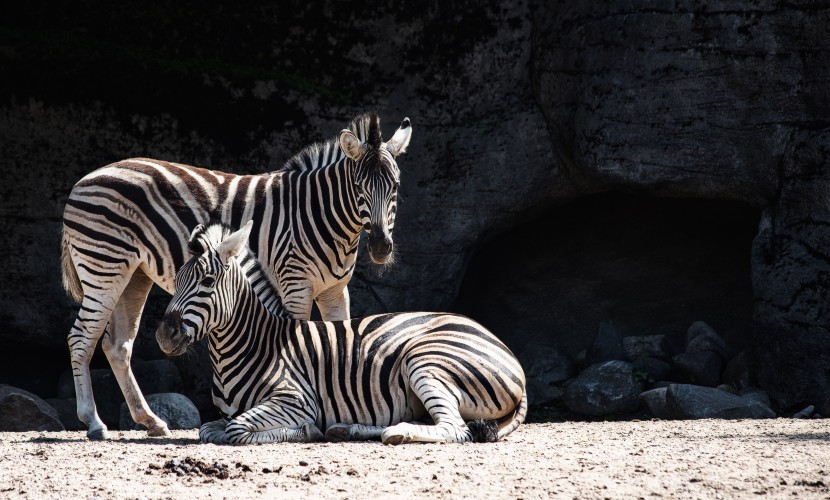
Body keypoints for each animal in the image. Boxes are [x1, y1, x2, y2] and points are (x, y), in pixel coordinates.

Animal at [59, 112, 412, 438]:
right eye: (358, 187)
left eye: (395, 187)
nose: (380, 247)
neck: (322, 215)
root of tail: (83, 181)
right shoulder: (294, 283)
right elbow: (300, 339)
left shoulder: (335, 290)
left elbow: (340, 336)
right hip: (104, 267)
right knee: (81, 338)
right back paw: (94, 422)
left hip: (133, 275)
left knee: (117, 346)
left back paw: (151, 421)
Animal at [156, 223, 528, 446]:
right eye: (176, 281)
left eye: (207, 282)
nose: (163, 335)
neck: (253, 346)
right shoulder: (222, 417)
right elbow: (208, 429)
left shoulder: (296, 399)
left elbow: (235, 430)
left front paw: (305, 430)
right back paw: (348, 428)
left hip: (425, 361)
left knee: (454, 428)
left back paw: (395, 433)